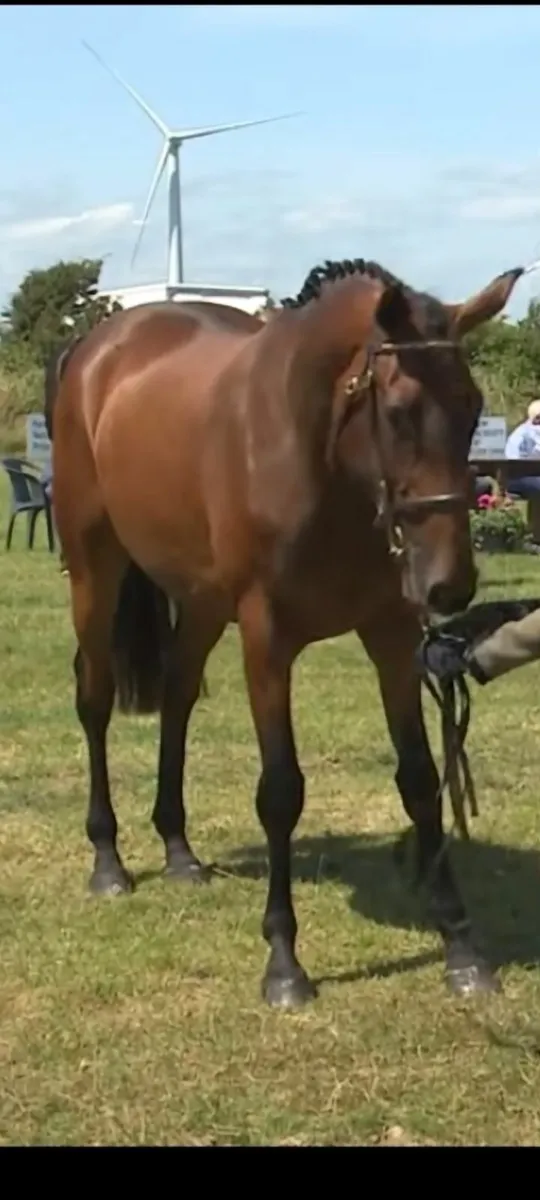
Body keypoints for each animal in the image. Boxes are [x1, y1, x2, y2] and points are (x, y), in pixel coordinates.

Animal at [48, 257, 523, 1009]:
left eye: (473, 406)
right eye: (398, 412)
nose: (450, 587)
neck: (321, 463)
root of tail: (95, 352)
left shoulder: (391, 634)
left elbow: (421, 779)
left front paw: (462, 948)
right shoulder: (267, 640)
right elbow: (280, 791)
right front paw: (284, 963)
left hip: (202, 600)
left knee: (178, 696)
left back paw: (178, 850)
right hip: (96, 568)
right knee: (93, 699)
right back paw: (109, 861)